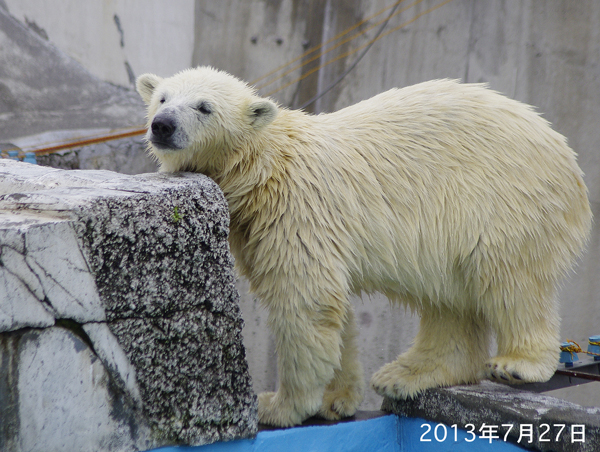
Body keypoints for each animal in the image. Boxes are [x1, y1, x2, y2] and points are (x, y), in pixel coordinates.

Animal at [136, 67, 592, 428]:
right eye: (162, 97)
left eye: (204, 107)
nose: (162, 124)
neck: (263, 164)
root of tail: (564, 152)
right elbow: (335, 310)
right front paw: (335, 400)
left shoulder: (296, 210)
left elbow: (304, 298)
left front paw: (279, 406)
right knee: (449, 300)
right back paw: (407, 374)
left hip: (504, 200)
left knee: (510, 277)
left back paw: (517, 364)